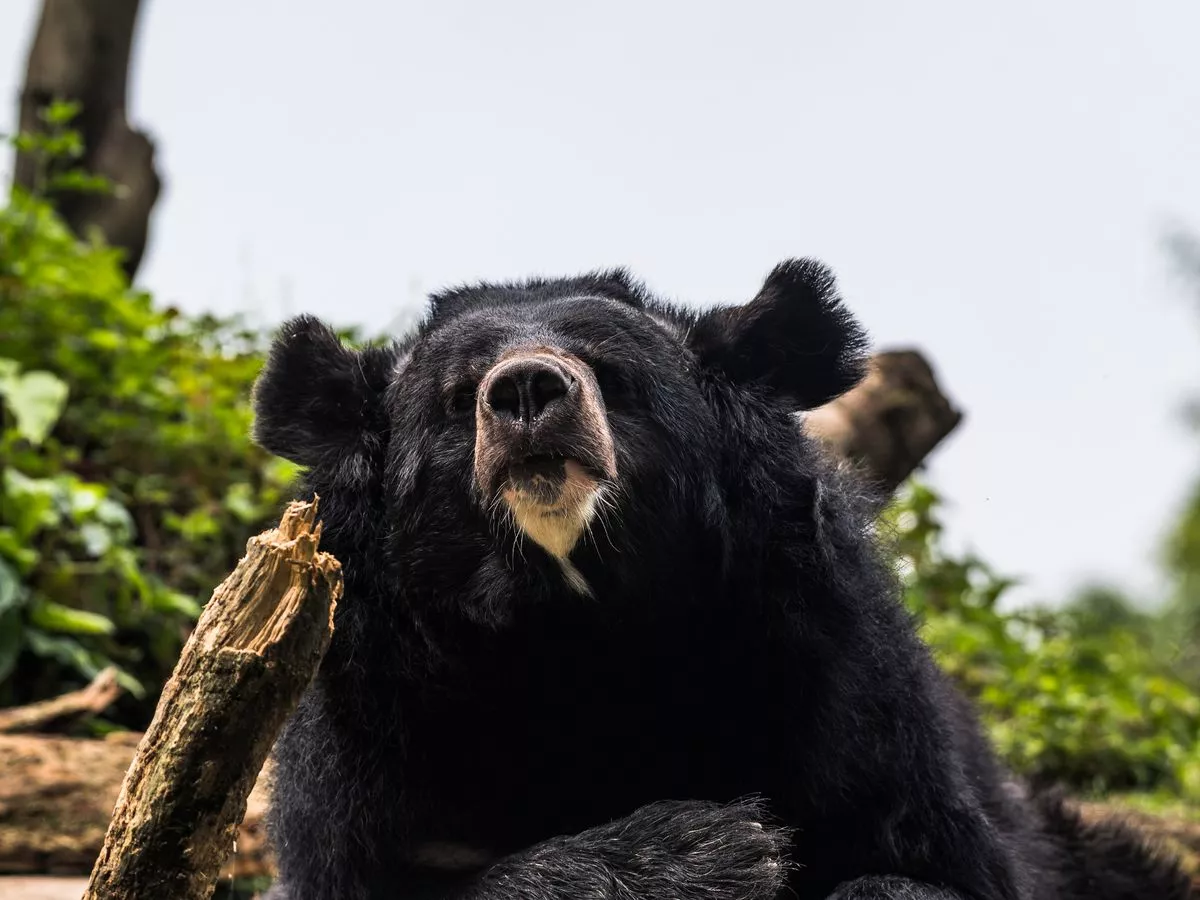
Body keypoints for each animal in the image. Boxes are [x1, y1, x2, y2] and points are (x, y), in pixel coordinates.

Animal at [250, 259, 1192, 900]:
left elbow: (924, 860)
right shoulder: (370, 714)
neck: (576, 626)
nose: (525, 391)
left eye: (612, 375)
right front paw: (706, 851)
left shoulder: (836, 665)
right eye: (456, 398)